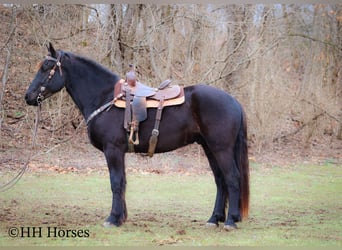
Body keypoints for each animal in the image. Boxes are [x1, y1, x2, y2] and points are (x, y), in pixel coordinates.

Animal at [24, 43, 248, 230]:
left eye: (46, 67)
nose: (28, 96)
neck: (104, 97)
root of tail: (233, 101)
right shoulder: (118, 152)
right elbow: (122, 182)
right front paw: (121, 217)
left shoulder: (113, 150)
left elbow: (115, 182)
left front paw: (112, 219)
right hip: (210, 148)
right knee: (220, 180)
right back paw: (214, 219)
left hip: (221, 149)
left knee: (232, 178)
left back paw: (230, 221)